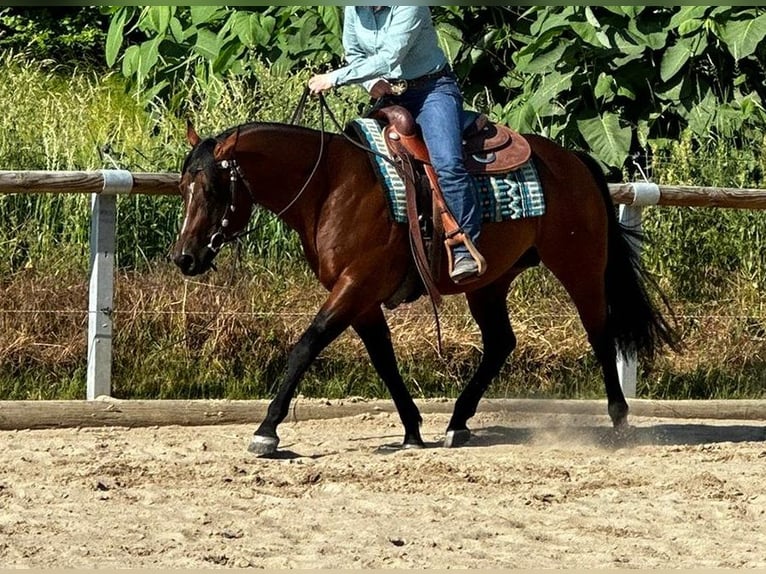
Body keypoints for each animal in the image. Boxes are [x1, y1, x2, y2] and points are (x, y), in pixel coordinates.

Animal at [172, 118, 680, 460]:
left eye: (213, 189)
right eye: (183, 188)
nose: (185, 258)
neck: (331, 186)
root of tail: (574, 161)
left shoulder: (353, 286)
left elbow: (305, 346)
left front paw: (267, 430)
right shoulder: (360, 298)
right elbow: (383, 358)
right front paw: (413, 431)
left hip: (580, 267)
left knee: (600, 333)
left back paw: (618, 420)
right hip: (489, 282)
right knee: (501, 342)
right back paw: (458, 423)